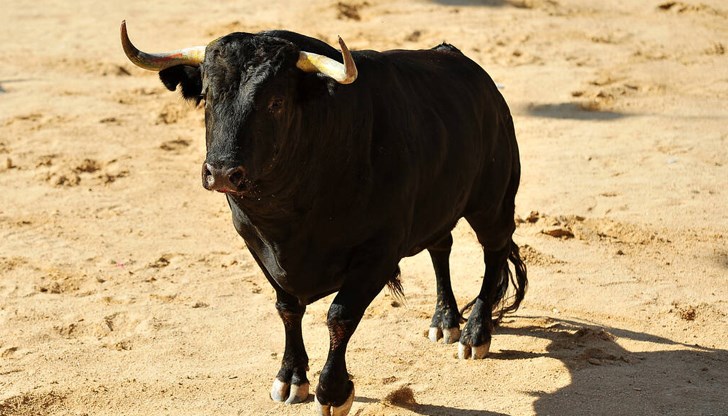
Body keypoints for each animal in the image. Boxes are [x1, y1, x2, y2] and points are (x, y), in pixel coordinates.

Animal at [123, 27, 524, 414]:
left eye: (276, 102)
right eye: (207, 96)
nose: (221, 172)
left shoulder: (378, 252)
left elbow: (340, 316)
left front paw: (332, 392)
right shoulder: (257, 244)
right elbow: (288, 309)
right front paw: (290, 377)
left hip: (493, 202)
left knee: (494, 252)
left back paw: (475, 335)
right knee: (442, 247)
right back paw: (444, 321)